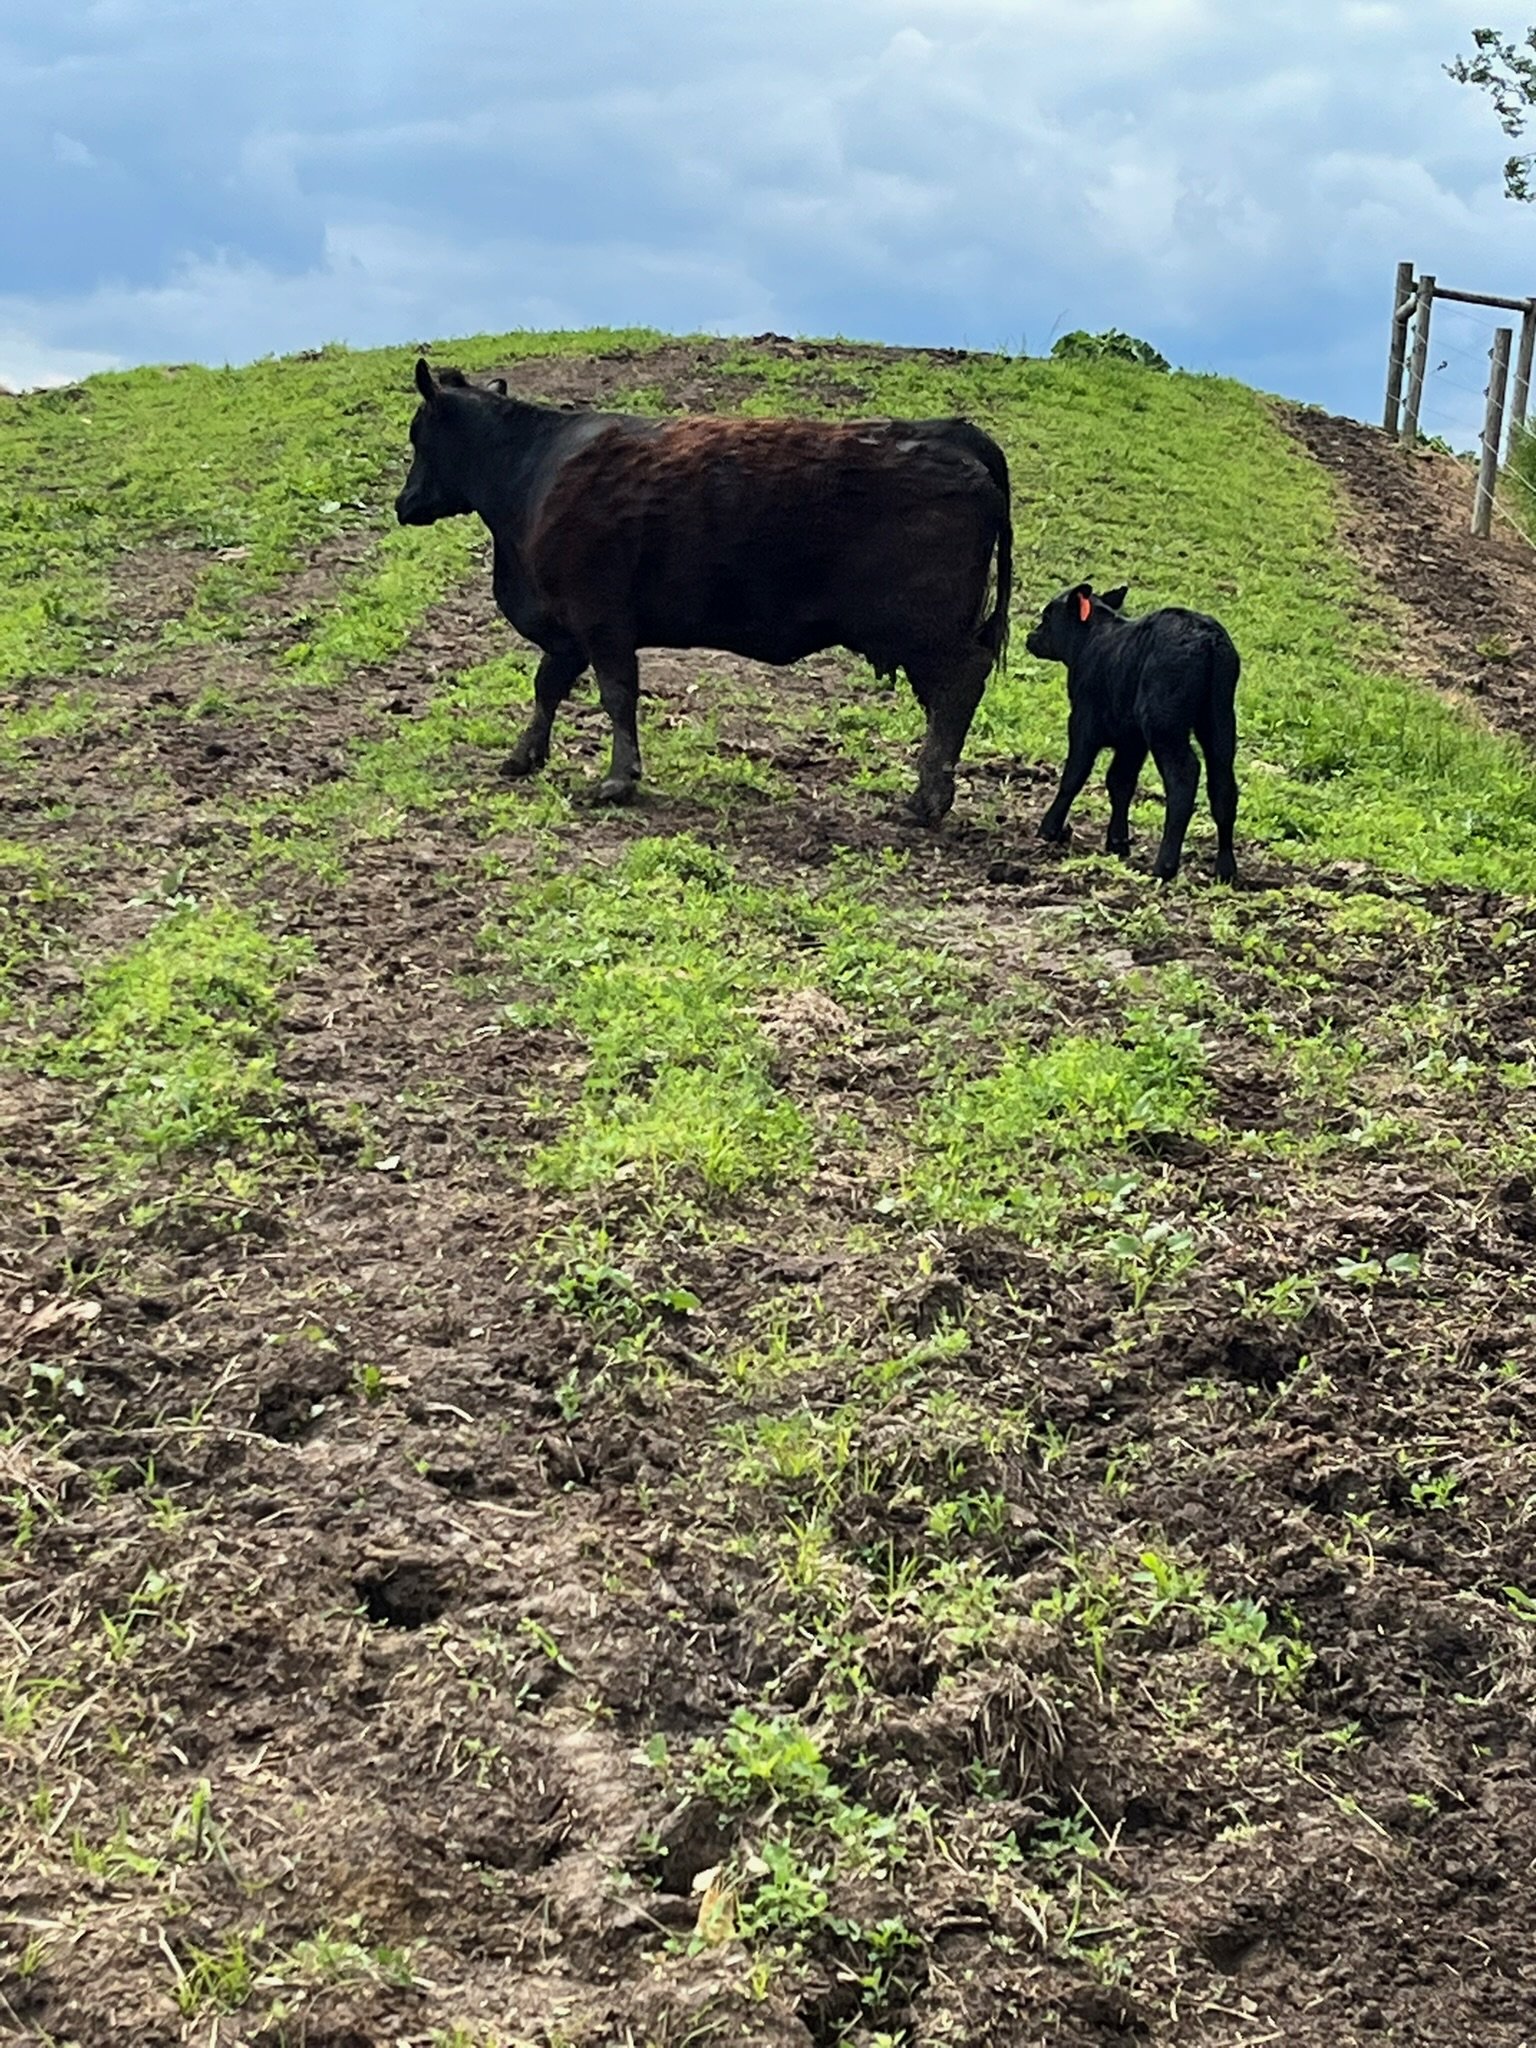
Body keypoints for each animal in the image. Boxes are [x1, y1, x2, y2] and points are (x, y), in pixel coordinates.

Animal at [395, 360, 1012, 822]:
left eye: (418, 435)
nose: (404, 504)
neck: (533, 469)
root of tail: (946, 430)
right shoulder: (568, 631)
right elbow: (547, 687)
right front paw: (524, 756)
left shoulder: (601, 621)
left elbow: (616, 695)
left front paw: (617, 781)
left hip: (925, 631)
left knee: (958, 686)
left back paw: (927, 799)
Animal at [1024, 582, 1240, 882]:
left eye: (1047, 617)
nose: (1030, 637)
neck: (1089, 642)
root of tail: (1209, 638)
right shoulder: (1132, 739)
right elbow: (1120, 782)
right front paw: (1117, 842)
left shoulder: (1083, 721)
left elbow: (1074, 775)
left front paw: (1049, 829)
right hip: (1219, 720)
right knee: (1222, 781)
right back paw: (1225, 867)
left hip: (1163, 725)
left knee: (1184, 775)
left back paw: (1164, 866)